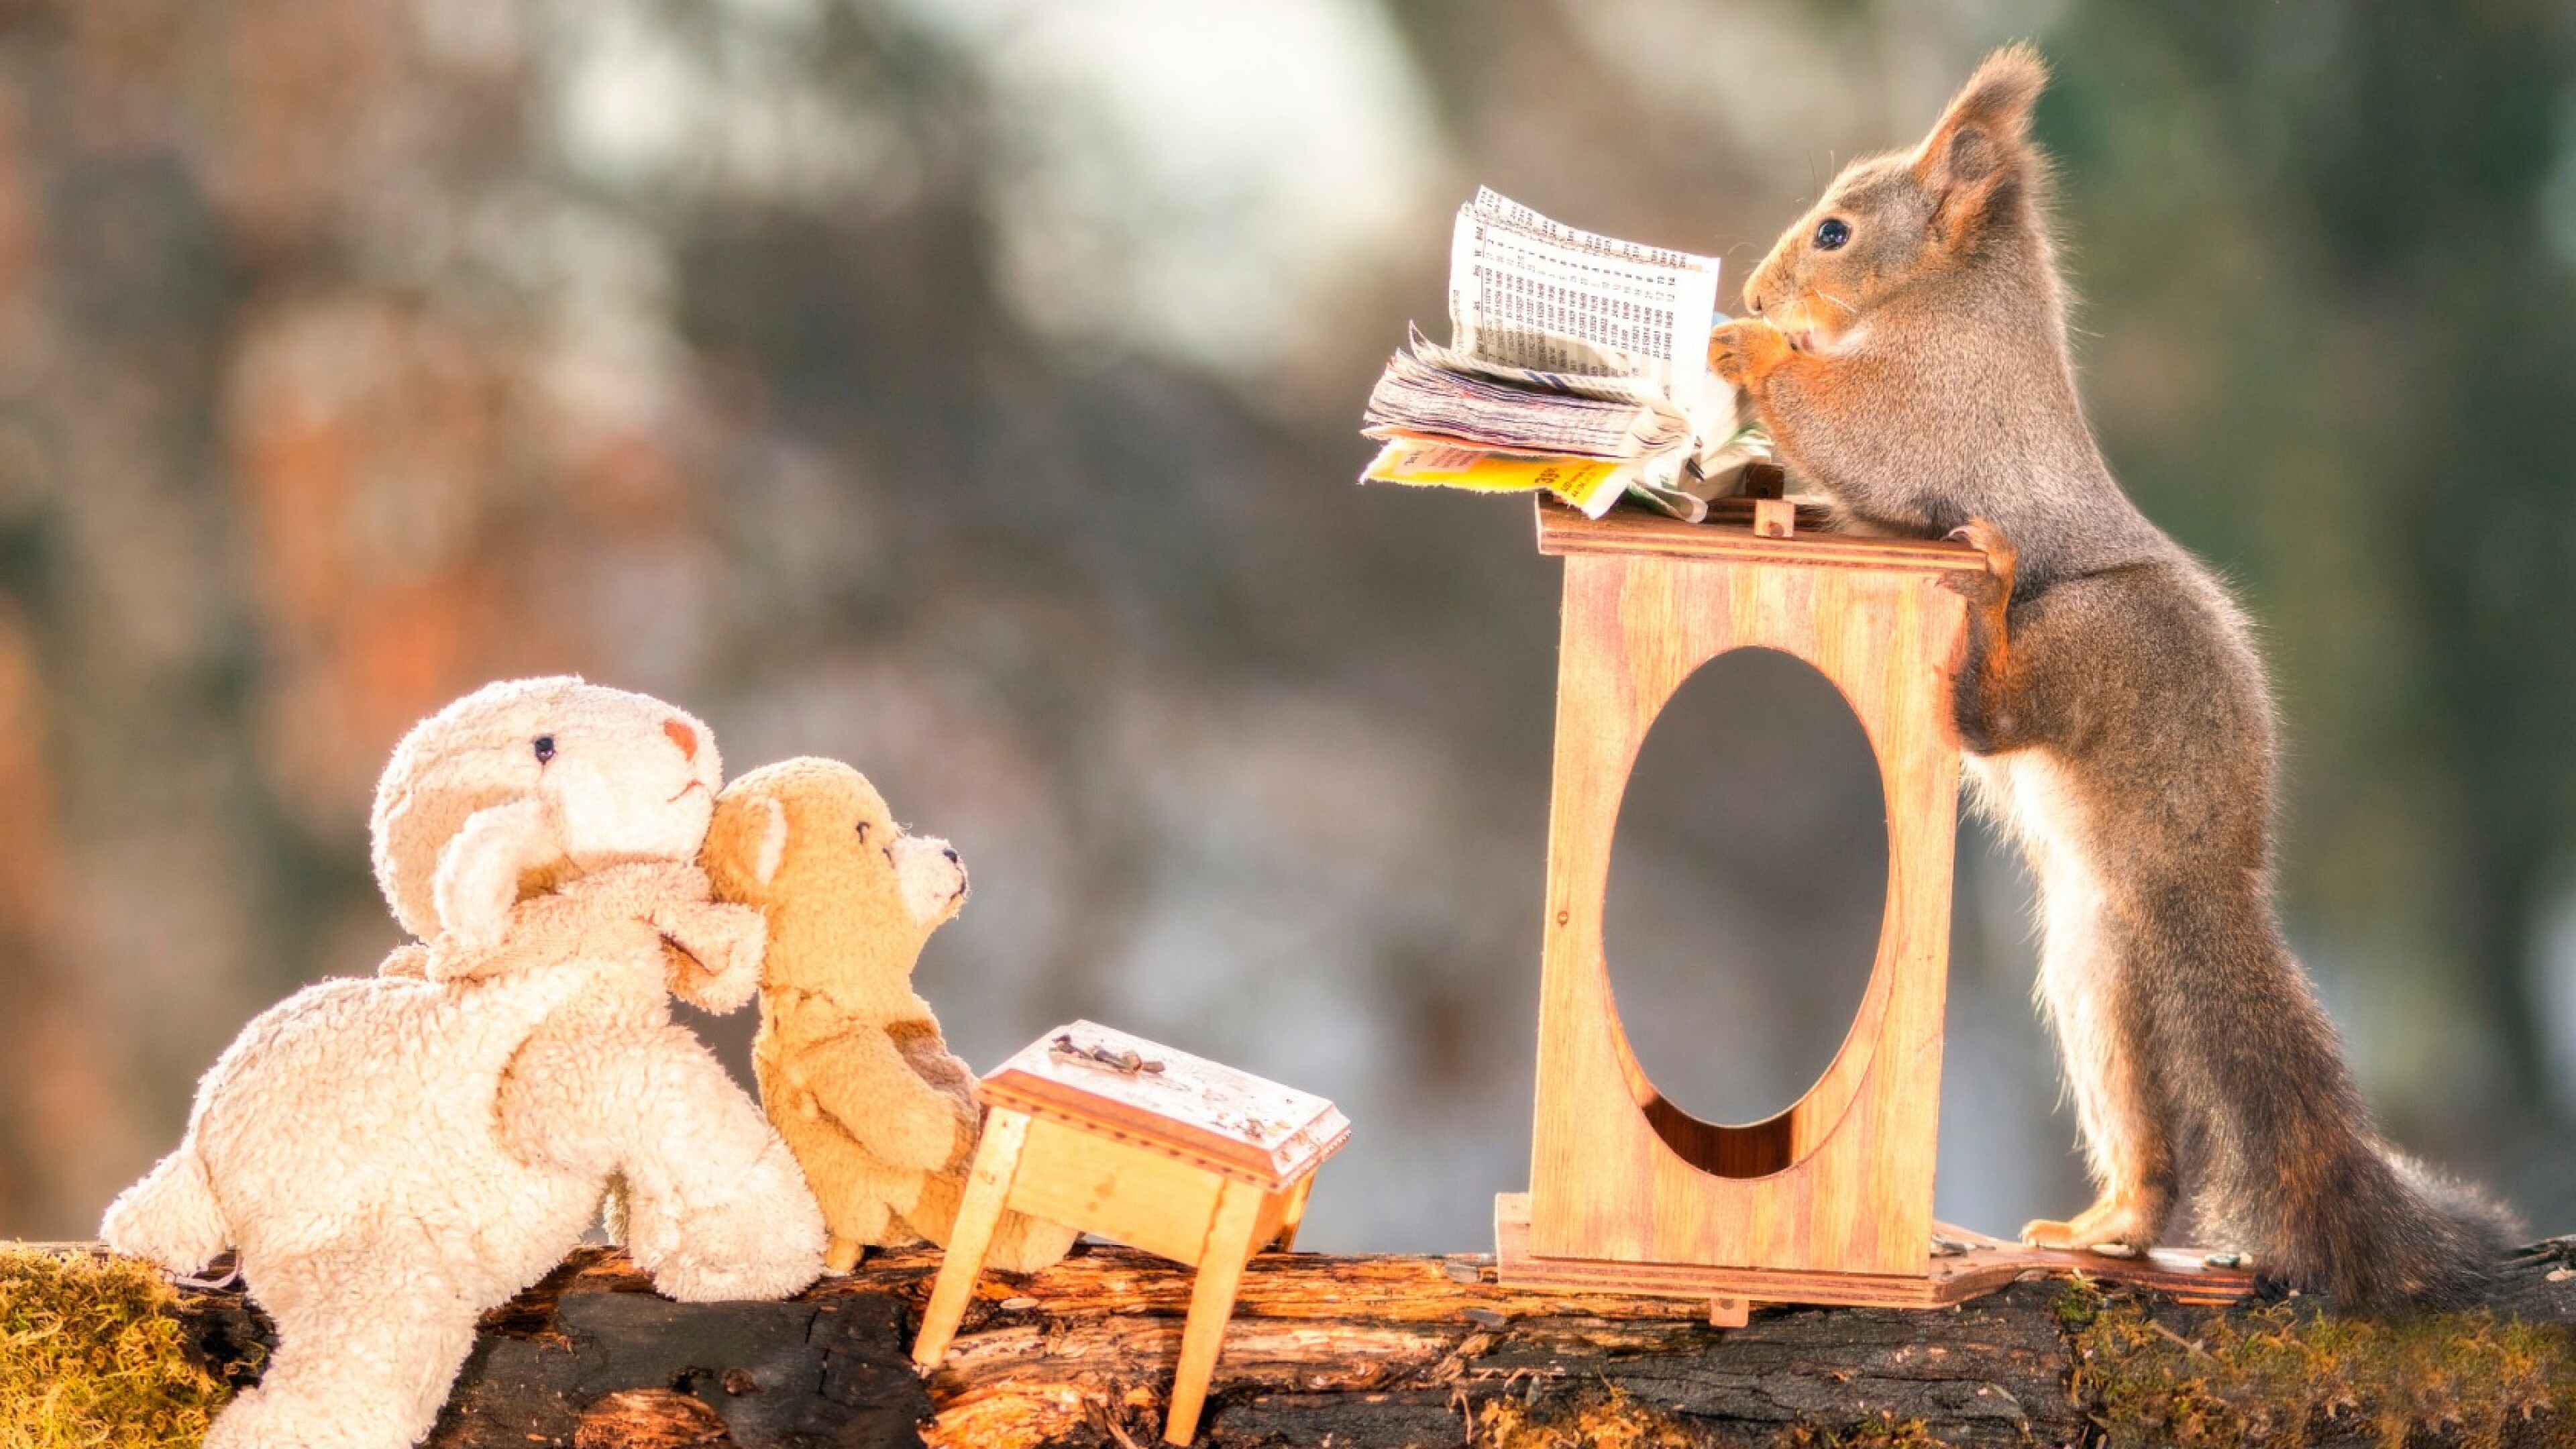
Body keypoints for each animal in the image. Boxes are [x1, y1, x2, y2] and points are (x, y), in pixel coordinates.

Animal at [1709, 43, 2516, 1310]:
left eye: (1836, 233)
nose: (1754, 291)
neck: (1948, 297)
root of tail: (2209, 860)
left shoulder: (1938, 401)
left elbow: (1856, 432)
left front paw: (1745, 354)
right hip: (2097, 974)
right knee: (2145, 1148)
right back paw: (2102, 1228)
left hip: (2096, 642)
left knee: (1995, 717)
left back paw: (1989, 600)